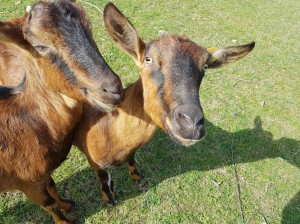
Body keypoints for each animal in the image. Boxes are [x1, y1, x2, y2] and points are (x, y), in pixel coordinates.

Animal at [0, 0, 123, 223]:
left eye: (89, 28)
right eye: (40, 46)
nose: (113, 89)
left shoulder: (44, 174)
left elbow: (52, 186)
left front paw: (67, 204)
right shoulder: (28, 182)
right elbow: (47, 202)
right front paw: (64, 220)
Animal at [74, 2, 254, 206]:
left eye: (205, 66)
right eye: (148, 59)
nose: (191, 124)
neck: (107, 129)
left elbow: (133, 160)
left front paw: (136, 175)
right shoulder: (95, 162)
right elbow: (104, 180)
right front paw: (109, 198)